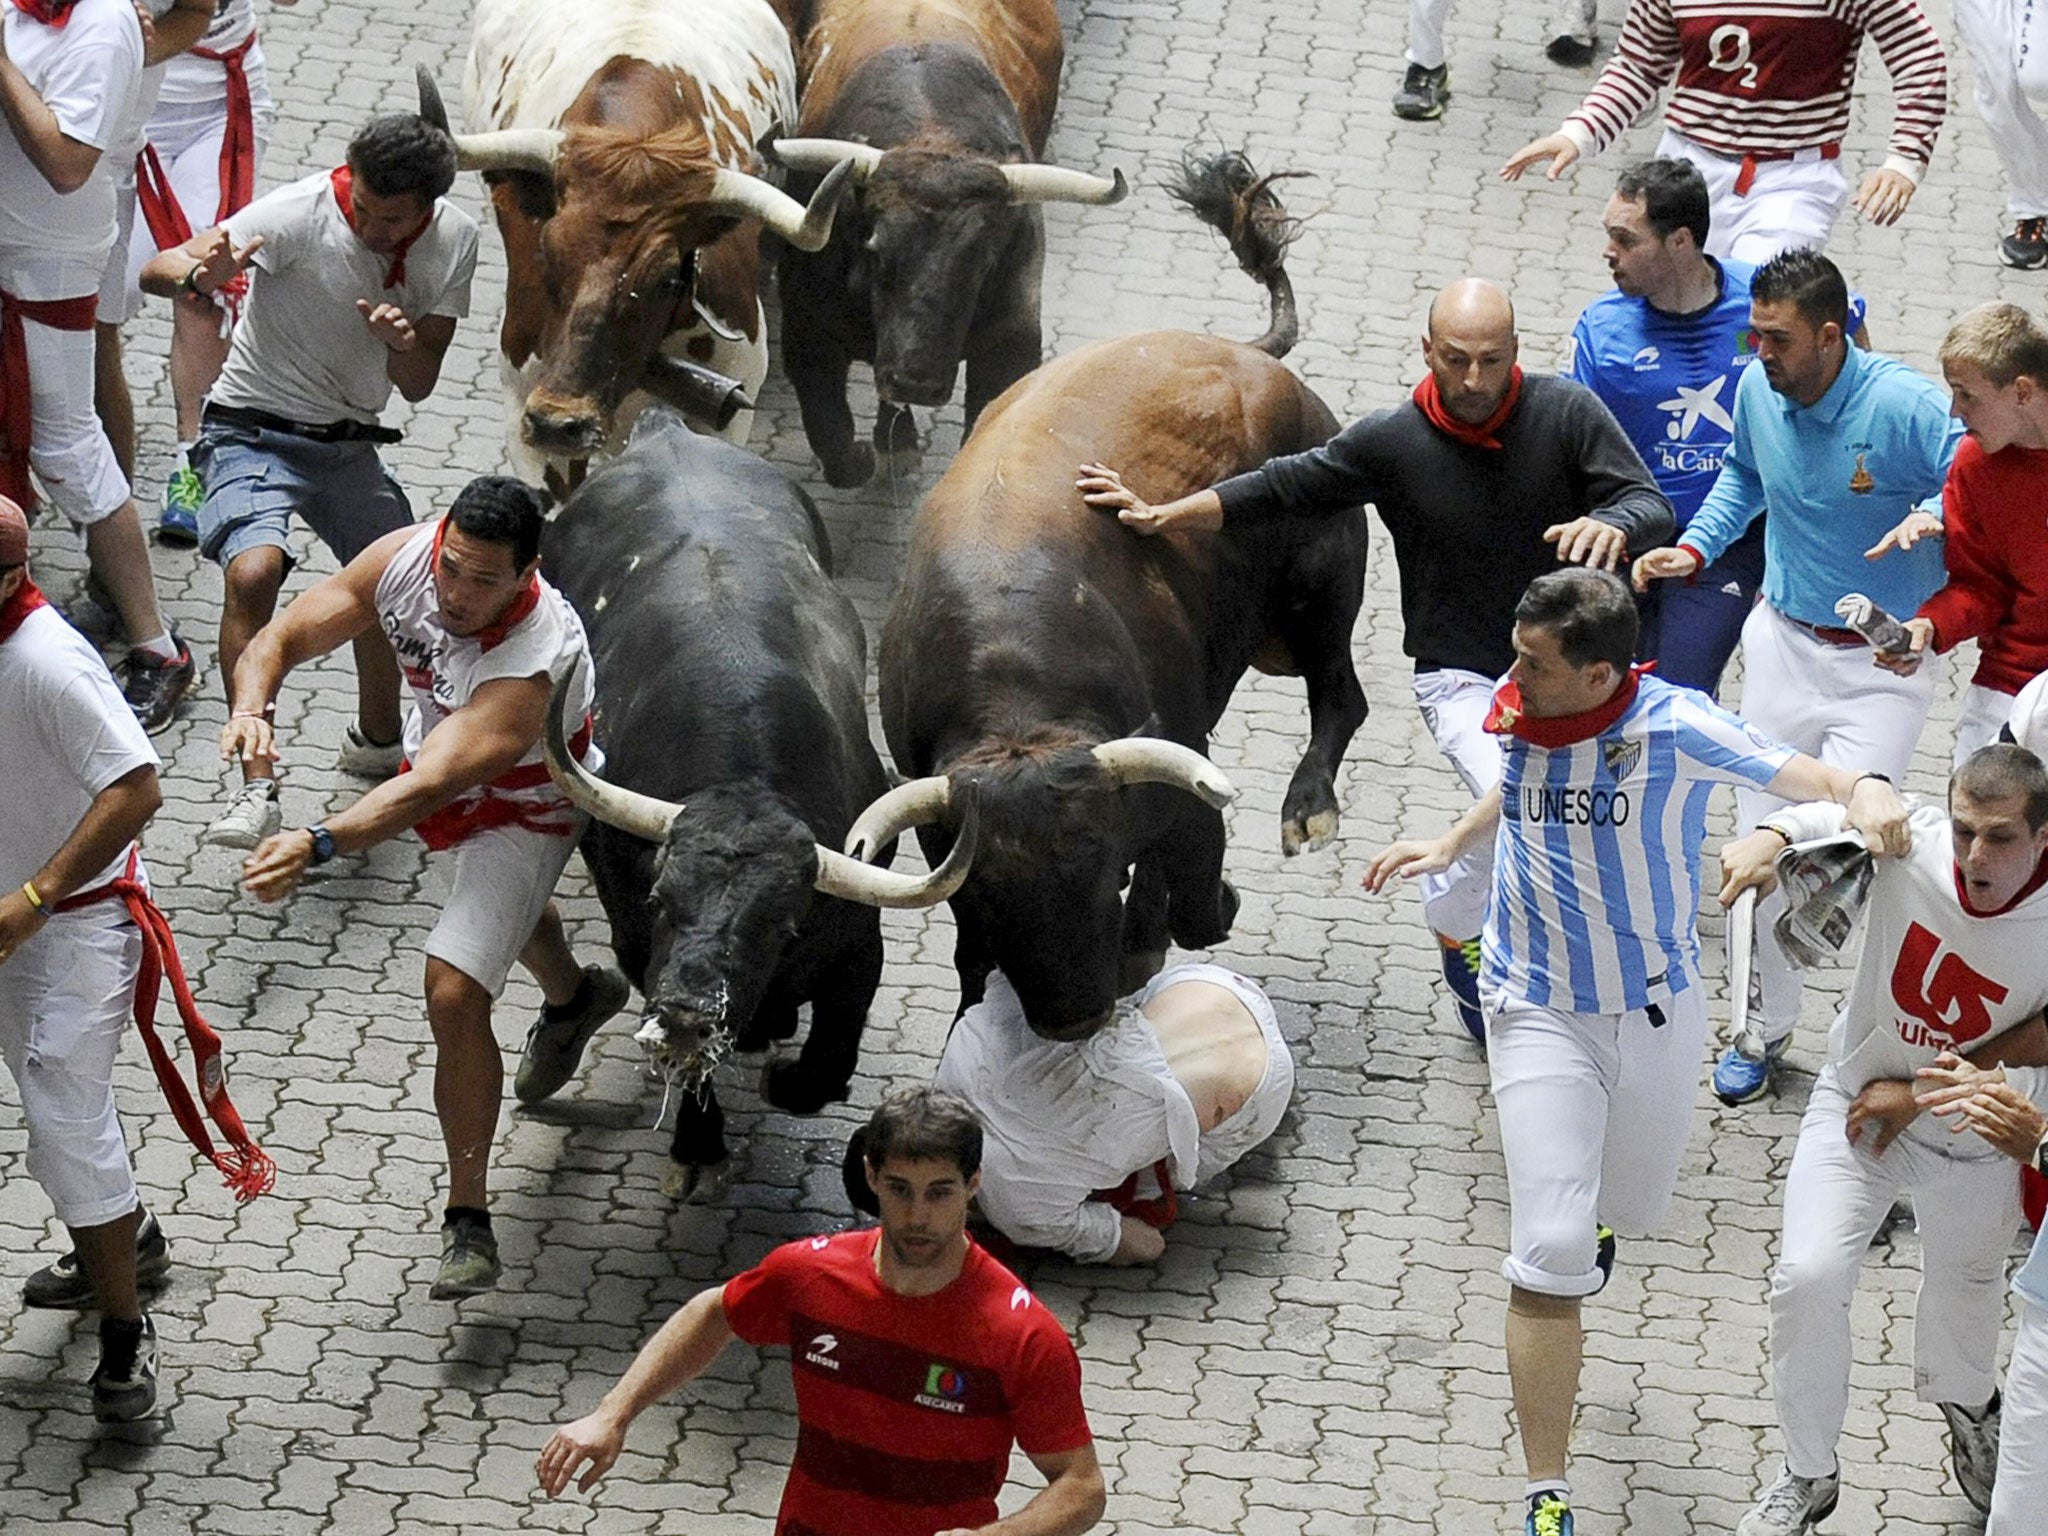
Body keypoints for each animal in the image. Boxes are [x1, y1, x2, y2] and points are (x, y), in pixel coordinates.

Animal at [536, 415, 966, 1212]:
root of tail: (667, 430)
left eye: (779, 923)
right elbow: (698, 1070)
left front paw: (784, 1073)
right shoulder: (637, 945)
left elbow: (828, 1061)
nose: (688, 1012)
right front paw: (698, 1148)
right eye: (660, 898)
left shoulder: (859, 948)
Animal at [770, 0, 1130, 487]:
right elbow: (833, 438)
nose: (916, 382)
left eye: (984, 263)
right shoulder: (808, 334)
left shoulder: (1010, 338)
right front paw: (865, 455)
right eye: (875, 248)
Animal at [856, 156, 1368, 1040]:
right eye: (994, 899)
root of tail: (1241, 351)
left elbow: (1196, 903)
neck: (1017, 698)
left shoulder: (1184, 795)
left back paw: (1308, 811)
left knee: (1342, 693)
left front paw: (1175, 921)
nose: (1071, 1019)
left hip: (1320, 589)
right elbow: (969, 952)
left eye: (1099, 874)